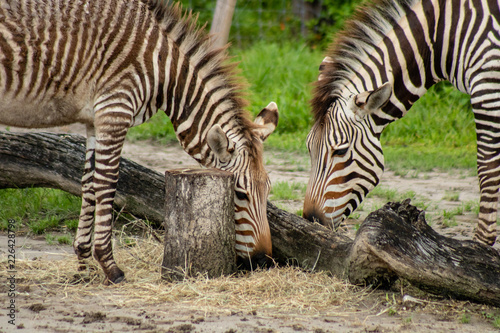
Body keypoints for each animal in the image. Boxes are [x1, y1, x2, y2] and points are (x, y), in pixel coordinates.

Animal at [0, 0, 280, 282]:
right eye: (239, 193)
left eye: (268, 190)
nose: (263, 262)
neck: (163, 69)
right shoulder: (115, 108)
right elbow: (106, 182)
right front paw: (109, 266)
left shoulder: (94, 119)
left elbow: (88, 183)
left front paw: (84, 263)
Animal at [302, 0, 500, 245]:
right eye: (309, 148)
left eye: (340, 151)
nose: (311, 220)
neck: (443, 37)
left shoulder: (487, 82)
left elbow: (487, 166)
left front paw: (481, 244)